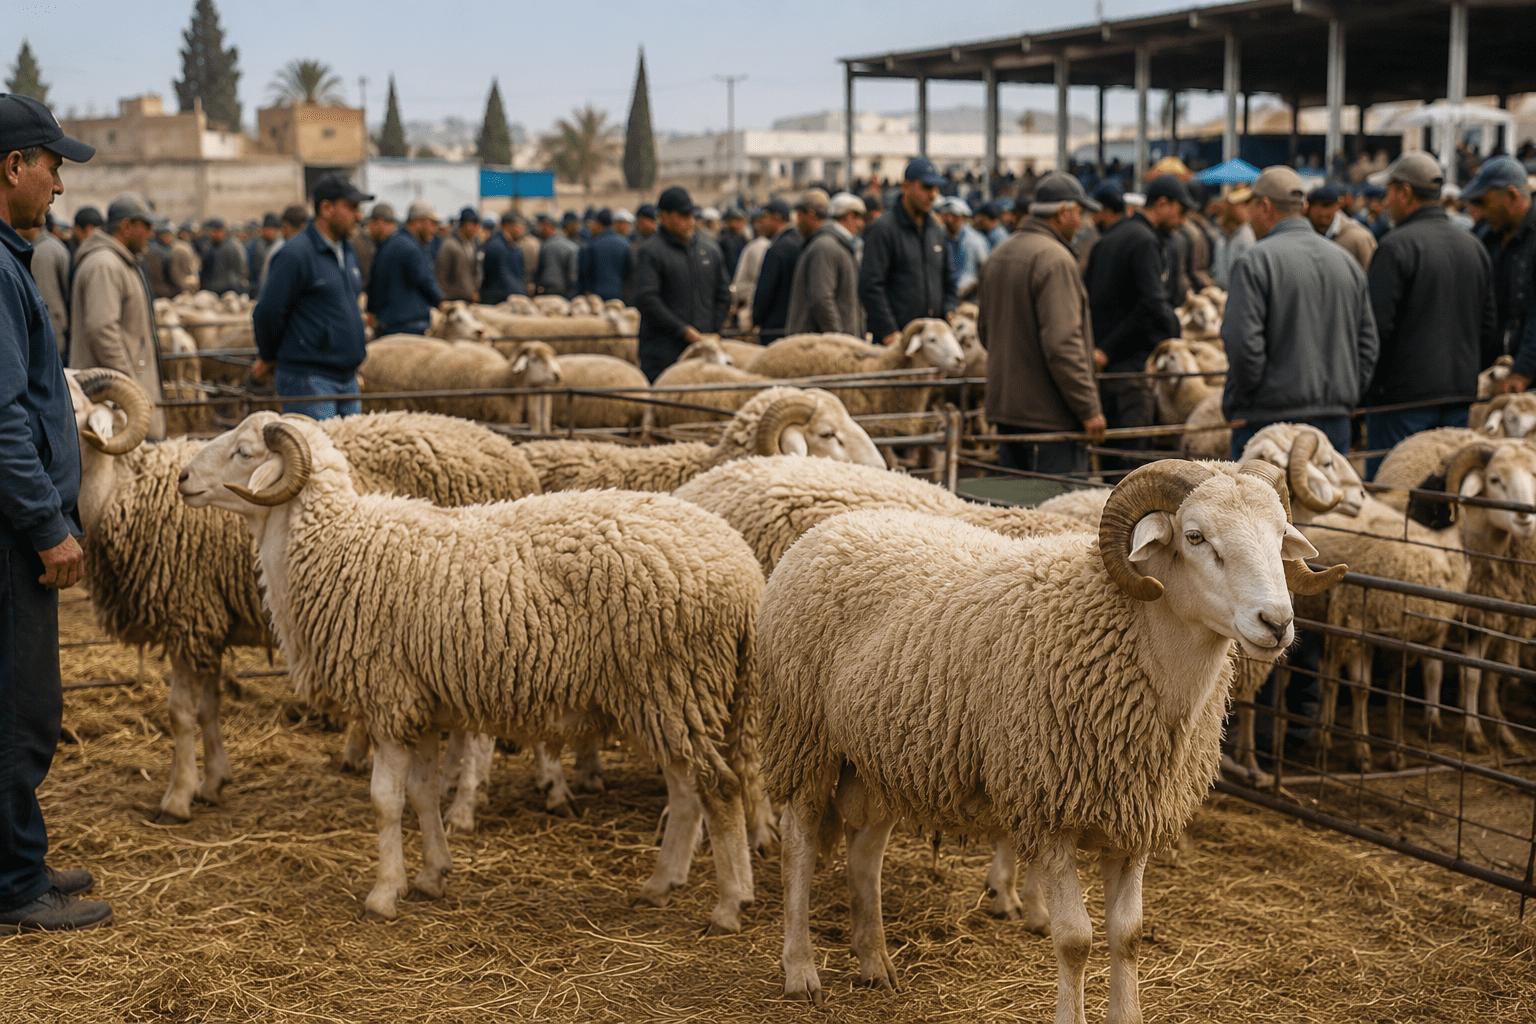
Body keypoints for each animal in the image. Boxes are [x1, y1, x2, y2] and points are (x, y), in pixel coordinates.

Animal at [66, 369, 543, 824]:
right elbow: (208, 708)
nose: (183, 479)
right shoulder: (210, 622)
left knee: (477, 729)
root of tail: (510, 452)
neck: (119, 492)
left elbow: (181, 714)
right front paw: (214, 782)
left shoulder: (189, 617)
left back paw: (466, 805)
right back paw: (449, 787)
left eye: (72, 408)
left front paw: (177, 799)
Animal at [177, 413, 764, 932]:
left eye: (244, 452)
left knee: (718, 787)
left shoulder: (388, 700)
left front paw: (383, 894)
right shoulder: (420, 705)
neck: (335, 545)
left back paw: (730, 905)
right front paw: (433, 875)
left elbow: (385, 802)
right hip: (670, 697)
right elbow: (422, 794)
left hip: (674, 684)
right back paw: (662, 884)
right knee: (686, 791)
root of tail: (745, 570)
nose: (182, 479)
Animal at [760, 458, 1343, 1014]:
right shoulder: (1049, 814)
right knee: (799, 842)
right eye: (1196, 536)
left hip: (882, 756)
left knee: (865, 850)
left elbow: (1128, 936)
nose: (1277, 623)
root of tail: (831, 527)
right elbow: (1076, 941)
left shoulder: (1133, 820)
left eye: (1280, 533)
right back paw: (800, 969)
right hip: (803, 734)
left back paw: (875, 961)